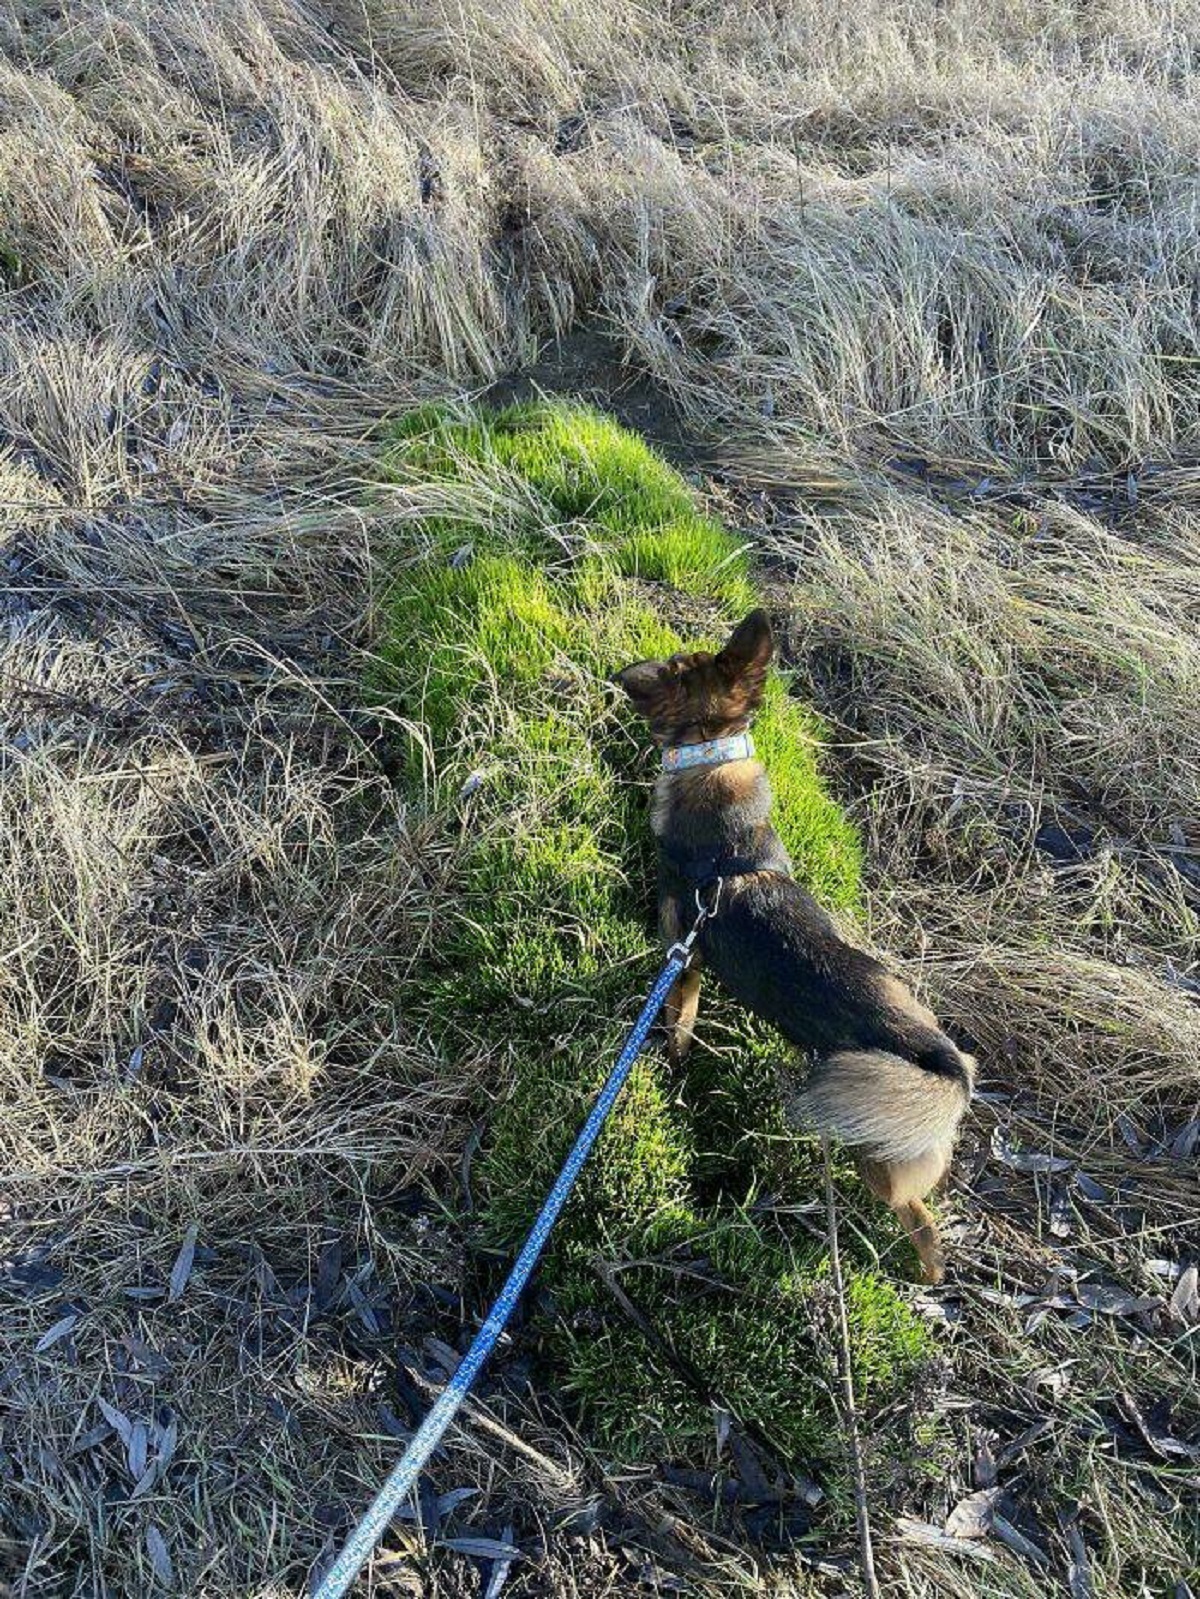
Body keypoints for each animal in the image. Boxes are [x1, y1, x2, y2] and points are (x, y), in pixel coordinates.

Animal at [611, 604, 979, 1279]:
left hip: (879, 1156)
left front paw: (672, 1064)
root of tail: (945, 1065)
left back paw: (923, 1274)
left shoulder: (684, 958)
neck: (711, 762)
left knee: (922, 1223)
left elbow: (680, 1023)